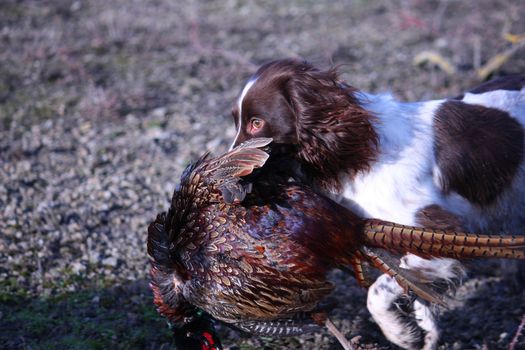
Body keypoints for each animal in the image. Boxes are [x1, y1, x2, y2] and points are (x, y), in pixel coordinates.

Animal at [229, 57, 524, 350]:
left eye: (256, 123)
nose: (231, 168)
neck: (363, 155)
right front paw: (426, 331)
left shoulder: (444, 238)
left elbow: (377, 291)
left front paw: (400, 334)